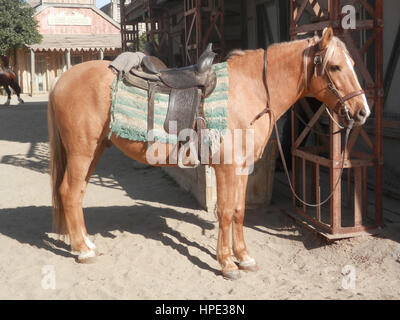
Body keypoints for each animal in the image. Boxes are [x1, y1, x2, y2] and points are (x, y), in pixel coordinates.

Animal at [48, 26, 370, 278]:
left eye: (353, 64)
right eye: (335, 67)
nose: (362, 112)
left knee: (77, 194)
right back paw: (82, 250)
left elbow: (239, 212)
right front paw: (227, 263)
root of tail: (61, 81)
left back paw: (86, 243)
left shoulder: (242, 168)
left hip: (93, 151)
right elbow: (225, 212)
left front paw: (244, 257)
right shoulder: (226, 167)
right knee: (69, 193)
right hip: (81, 152)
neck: (250, 89)